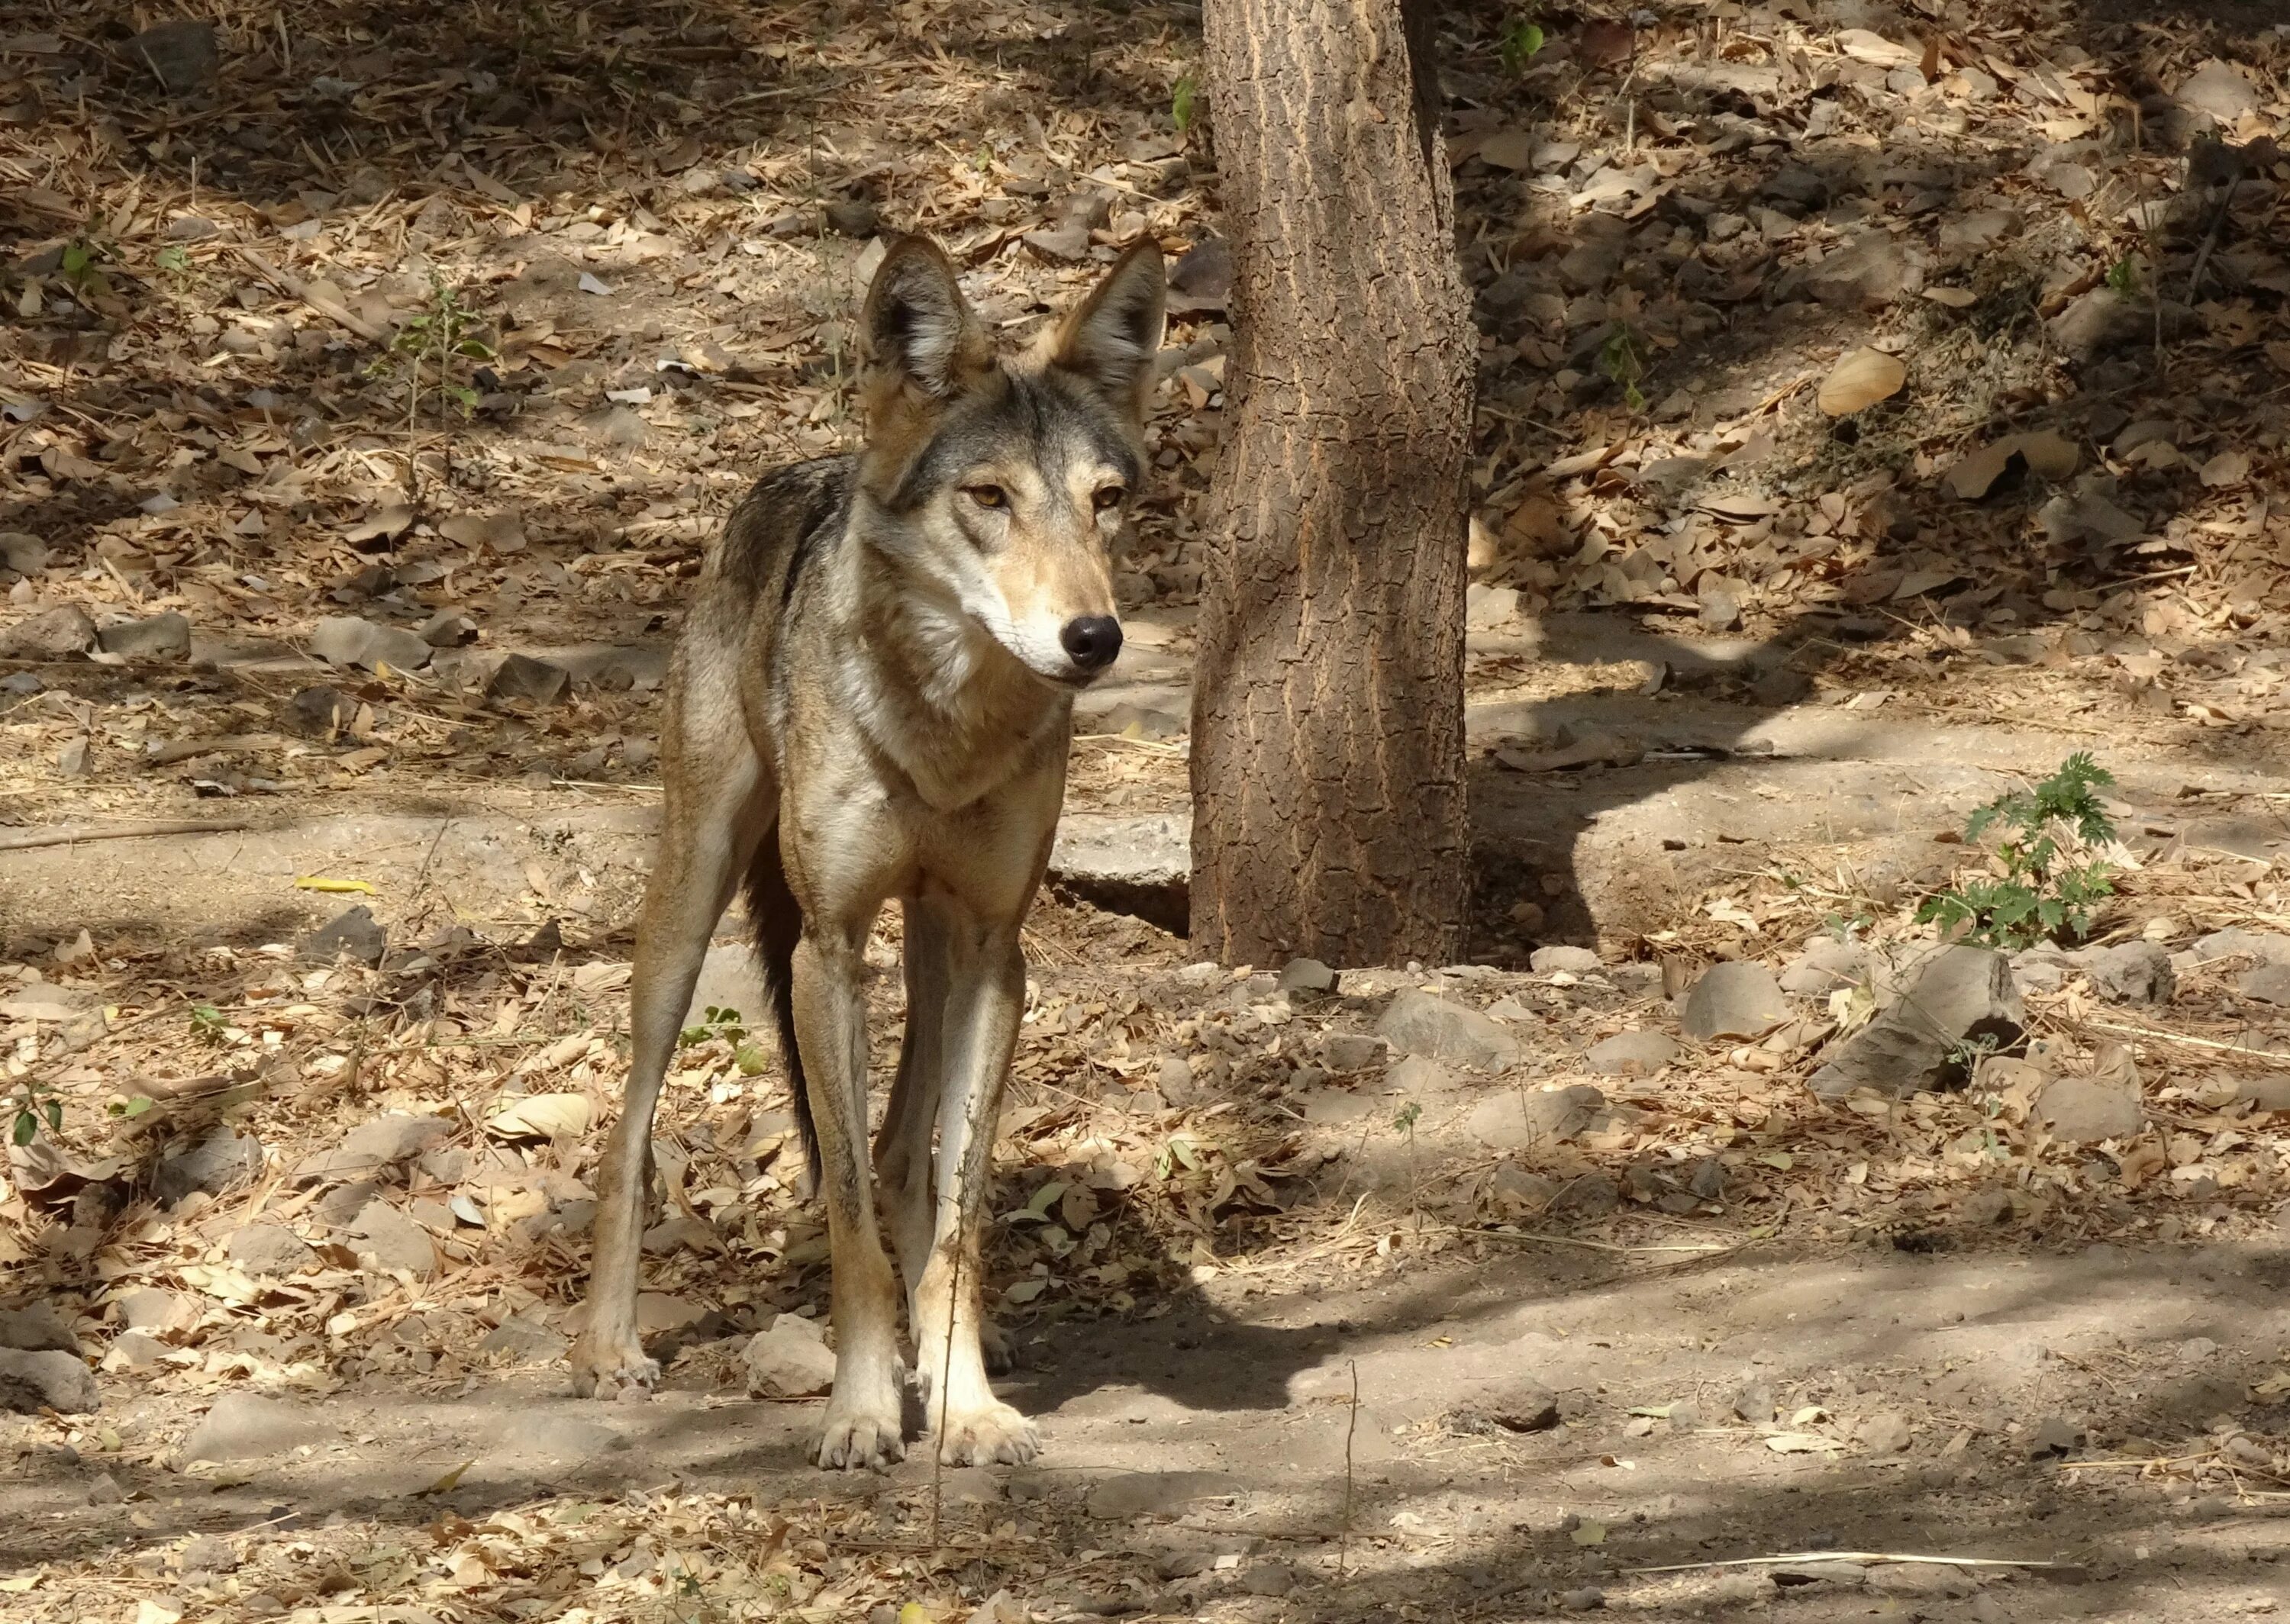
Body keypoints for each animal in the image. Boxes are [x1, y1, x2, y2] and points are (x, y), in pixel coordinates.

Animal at [572, 231, 1163, 1465]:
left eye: (1107, 503)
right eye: (989, 498)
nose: (1094, 637)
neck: (945, 726)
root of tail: (796, 472)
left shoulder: (997, 950)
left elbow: (958, 1210)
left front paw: (966, 1403)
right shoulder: (829, 948)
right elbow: (846, 1214)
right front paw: (856, 1414)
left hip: (934, 947)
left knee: (903, 1151)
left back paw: (932, 1361)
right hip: (689, 903)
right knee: (630, 1132)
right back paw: (608, 1350)